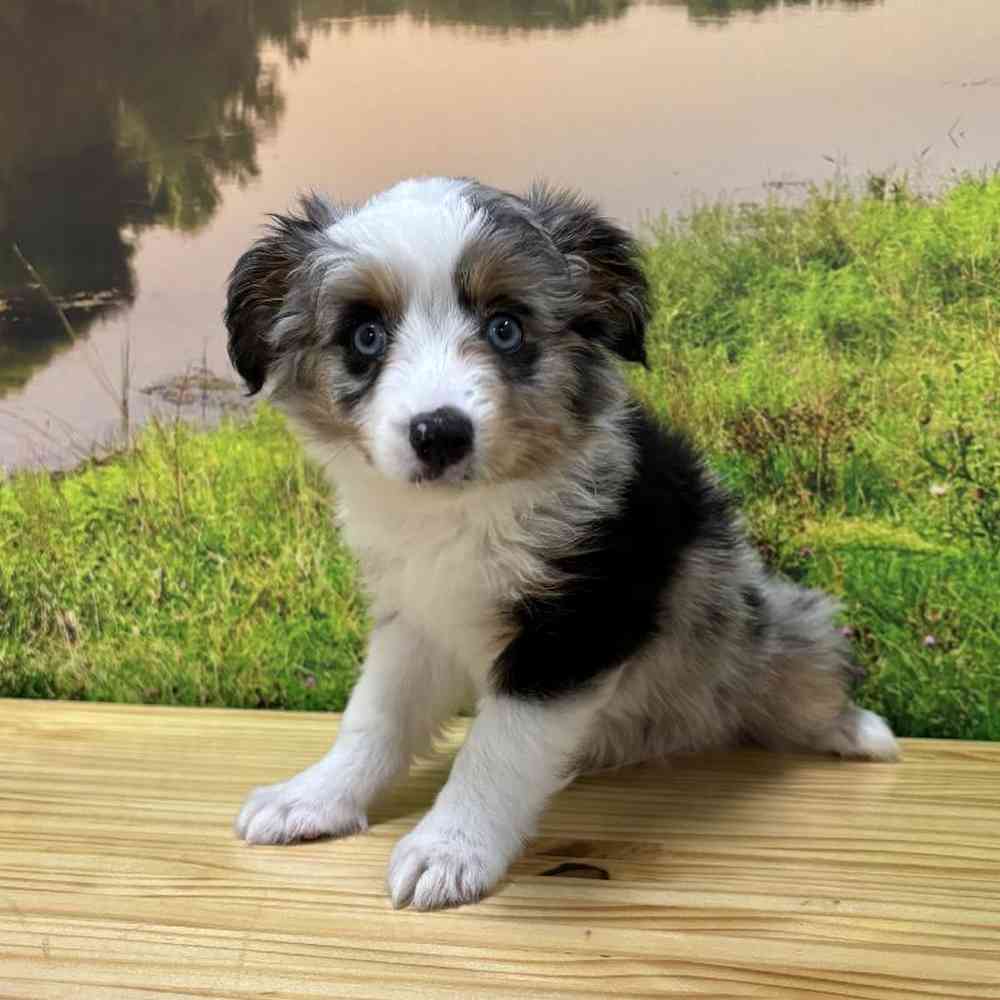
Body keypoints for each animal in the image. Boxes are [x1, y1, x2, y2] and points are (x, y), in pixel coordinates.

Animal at [225, 180, 900, 916]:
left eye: (506, 328)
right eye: (366, 336)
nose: (440, 434)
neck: (462, 513)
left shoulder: (575, 623)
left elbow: (498, 746)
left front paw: (449, 849)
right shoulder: (416, 616)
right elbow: (374, 714)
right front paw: (316, 796)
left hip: (776, 620)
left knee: (809, 676)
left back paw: (856, 731)